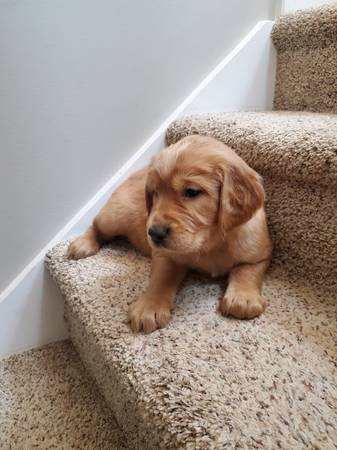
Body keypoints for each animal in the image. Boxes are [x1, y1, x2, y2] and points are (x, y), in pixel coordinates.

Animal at [67, 135, 270, 332]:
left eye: (191, 192)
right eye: (155, 193)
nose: (154, 233)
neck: (209, 242)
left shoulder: (259, 254)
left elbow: (247, 271)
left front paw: (242, 298)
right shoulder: (165, 255)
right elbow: (161, 278)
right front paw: (149, 307)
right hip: (115, 216)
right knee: (96, 225)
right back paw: (82, 244)